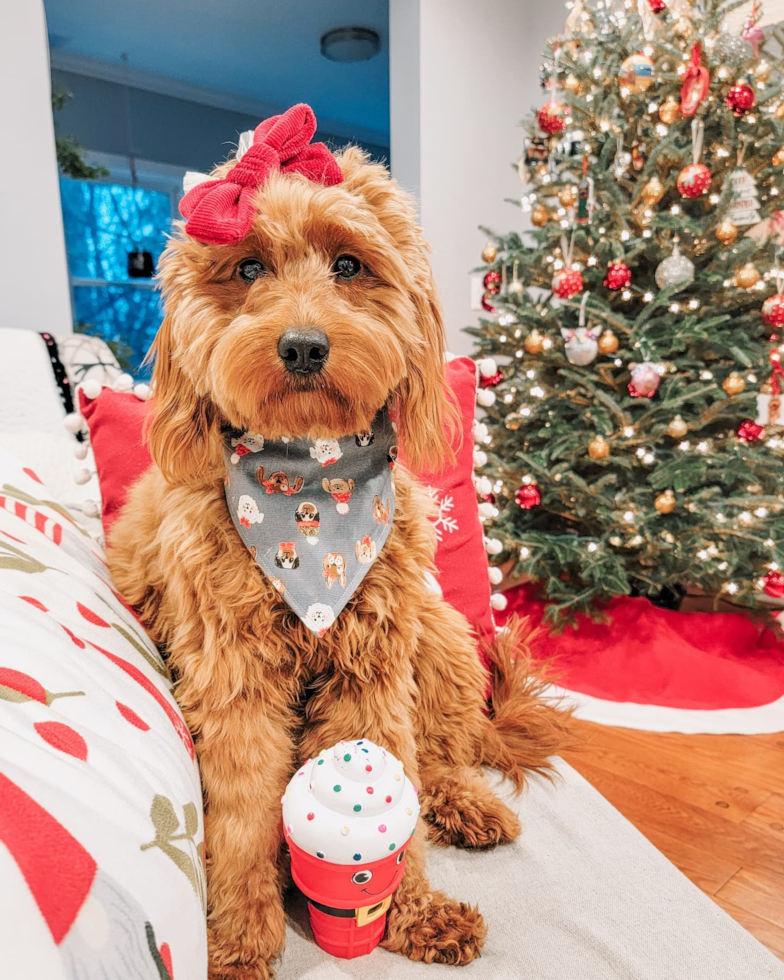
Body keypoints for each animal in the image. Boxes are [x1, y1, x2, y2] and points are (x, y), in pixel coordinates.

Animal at [107, 105, 568, 980]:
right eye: (248, 268)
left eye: (350, 264)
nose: (303, 346)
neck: (311, 490)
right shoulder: (234, 678)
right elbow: (245, 814)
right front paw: (239, 939)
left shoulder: (372, 664)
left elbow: (393, 773)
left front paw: (411, 908)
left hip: (440, 636)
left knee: (445, 752)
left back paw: (466, 802)